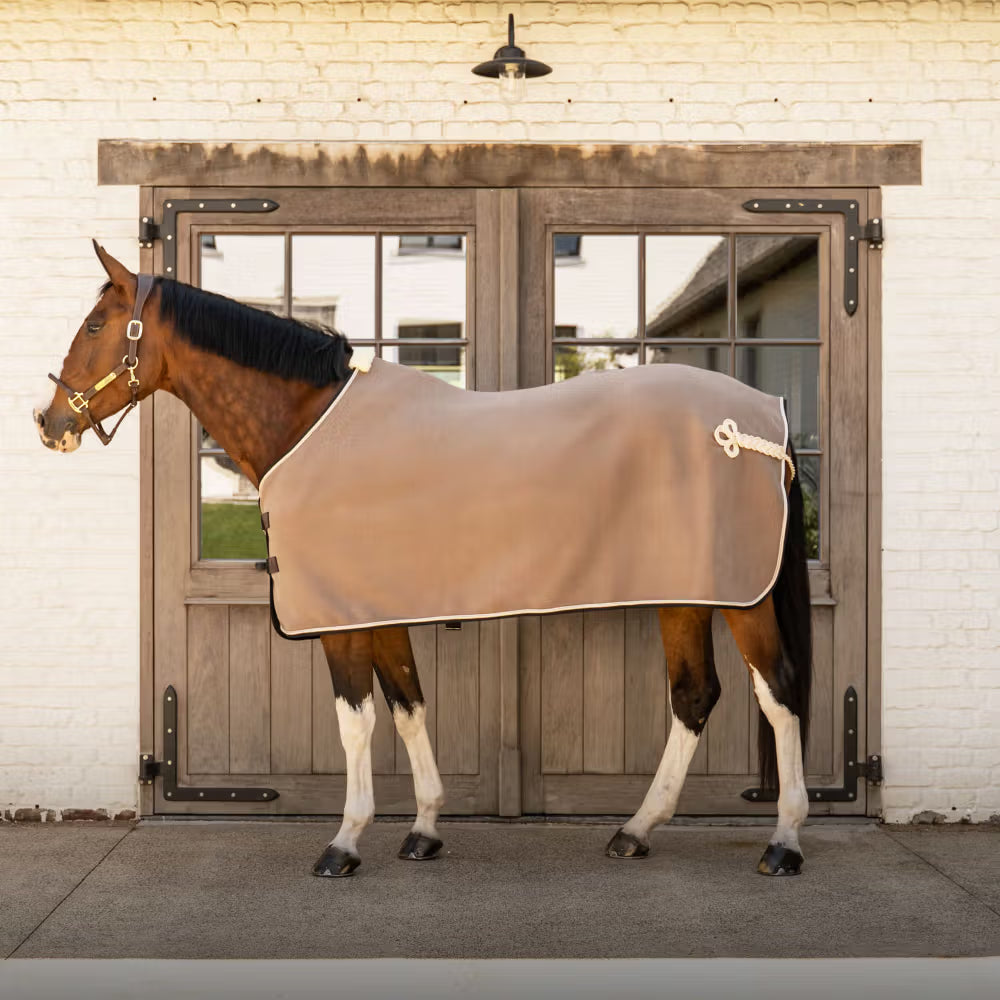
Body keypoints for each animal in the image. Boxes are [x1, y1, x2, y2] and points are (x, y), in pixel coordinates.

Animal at [36, 241, 812, 878]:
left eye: (97, 325)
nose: (50, 423)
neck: (308, 423)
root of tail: (759, 423)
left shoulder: (341, 621)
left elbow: (357, 722)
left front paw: (345, 843)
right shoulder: (378, 610)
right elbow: (408, 707)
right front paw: (426, 830)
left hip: (741, 599)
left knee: (776, 692)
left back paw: (784, 841)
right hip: (687, 595)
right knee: (694, 696)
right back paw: (636, 829)